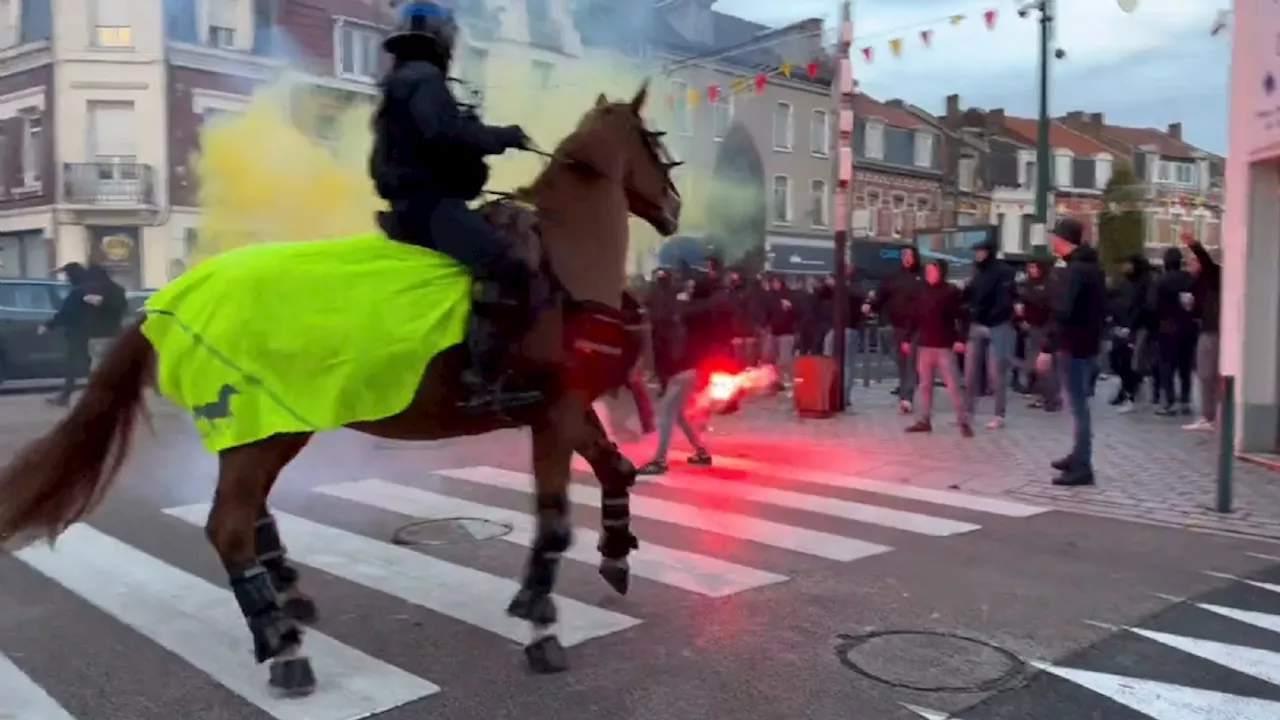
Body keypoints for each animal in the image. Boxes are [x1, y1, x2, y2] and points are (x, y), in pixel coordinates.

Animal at [0, 82, 680, 691]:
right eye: (654, 141)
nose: (674, 205)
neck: (565, 259)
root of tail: (175, 296)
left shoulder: (567, 409)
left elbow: (615, 468)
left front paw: (616, 552)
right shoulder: (554, 416)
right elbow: (555, 523)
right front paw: (541, 626)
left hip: (268, 429)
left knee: (252, 516)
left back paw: (288, 603)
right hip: (263, 433)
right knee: (229, 527)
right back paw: (283, 647)